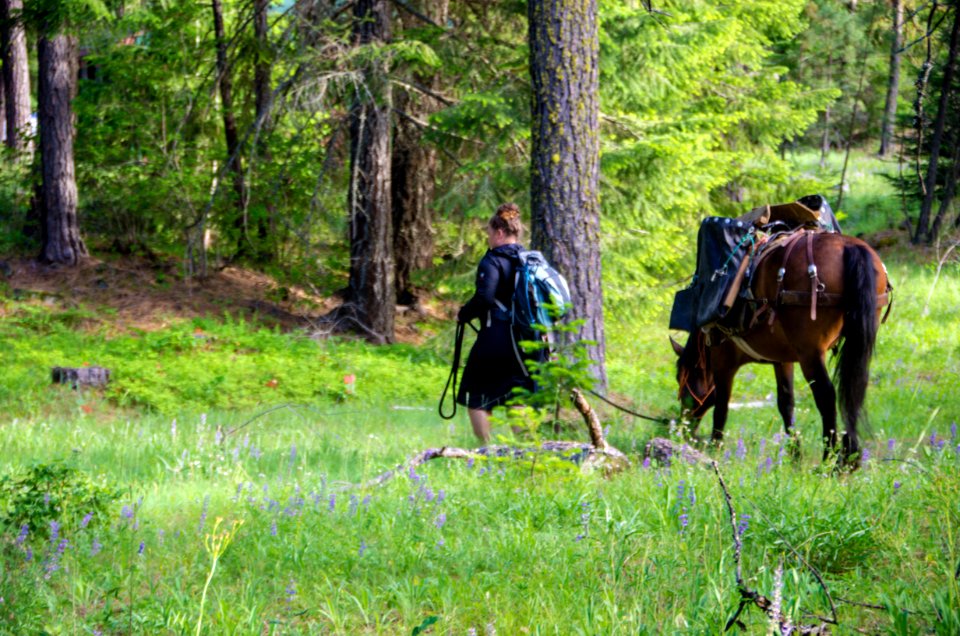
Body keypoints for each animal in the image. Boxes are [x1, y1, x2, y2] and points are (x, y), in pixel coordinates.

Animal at [672, 231, 888, 464]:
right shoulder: (782, 361)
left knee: (826, 395)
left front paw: (715, 447)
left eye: (681, 379)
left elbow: (721, 406)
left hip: (811, 354)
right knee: (853, 389)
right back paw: (849, 457)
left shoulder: (722, 362)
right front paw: (795, 455)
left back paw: (828, 459)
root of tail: (849, 247)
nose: (683, 429)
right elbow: (786, 403)